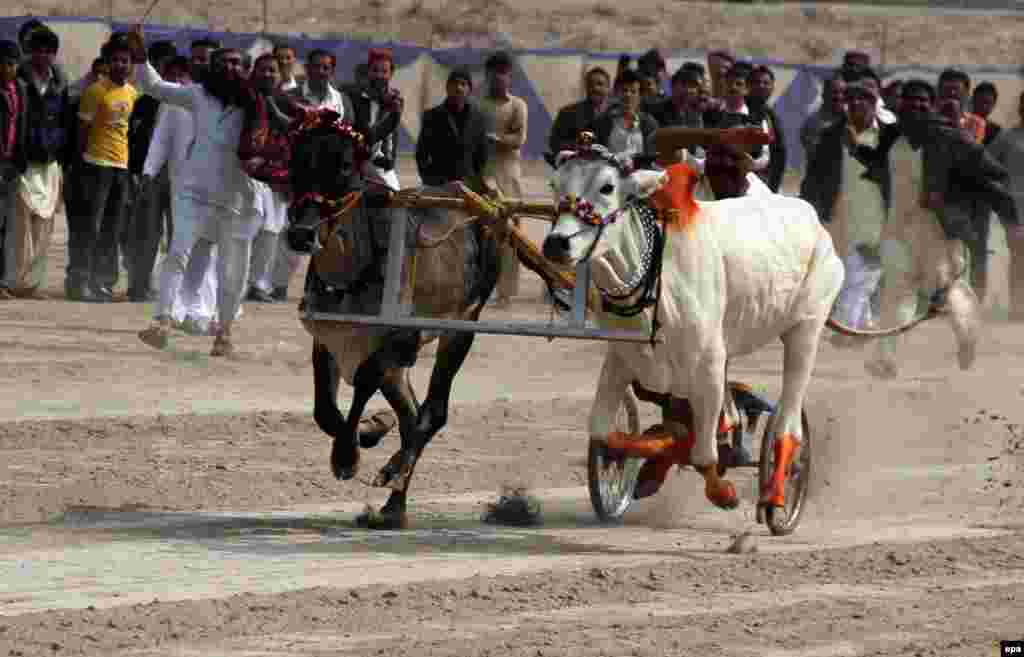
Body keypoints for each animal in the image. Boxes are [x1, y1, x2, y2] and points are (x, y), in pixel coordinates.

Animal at [284, 123, 499, 528]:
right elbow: (325, 411)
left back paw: (393, 476)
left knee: (431, 413)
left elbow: (364, 386)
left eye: (344, 167)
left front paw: (348, 456)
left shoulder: (398, 342)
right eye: (296, 162)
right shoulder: (329, 339)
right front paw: (367, 431)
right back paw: (393, 504)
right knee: (411, 414)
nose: (302, 234)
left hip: (461, 327)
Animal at [540, 149, 843, 511]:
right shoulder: (622, 358)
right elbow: (609, 434)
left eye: (607, 187)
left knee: (790, 421)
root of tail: (812, 218)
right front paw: (649, 468)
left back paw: (777, 494)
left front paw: (723, 492)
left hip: (806, 329)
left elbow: (703, 453)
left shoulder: (709, 364)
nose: (556, 244)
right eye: (555, 184)